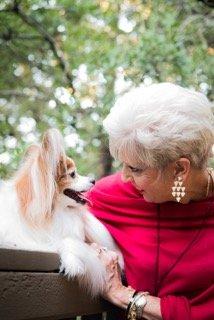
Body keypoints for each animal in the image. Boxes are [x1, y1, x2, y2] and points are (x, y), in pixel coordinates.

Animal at [0, 129, 123, 296]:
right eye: (73, 174)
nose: (93, 180)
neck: (56, 212)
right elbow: (63, 241)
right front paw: (73, 263)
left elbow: (68, 240)